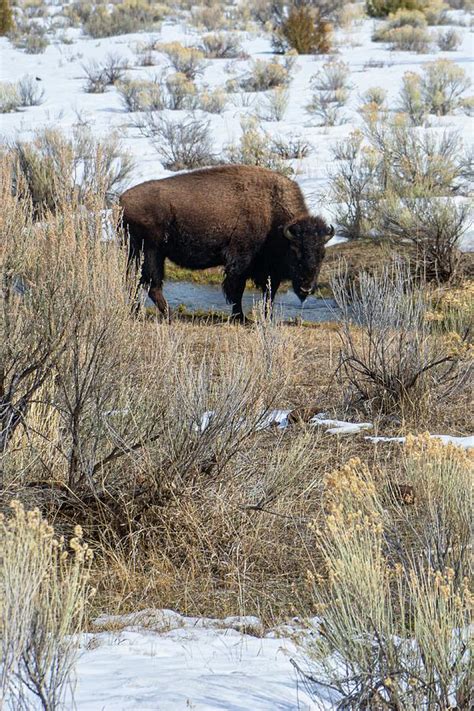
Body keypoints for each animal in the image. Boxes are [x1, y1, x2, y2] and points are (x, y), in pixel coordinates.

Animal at [118, 164, 334, 320]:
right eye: (295, 251)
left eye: (322, 254)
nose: (307, 288)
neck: (271, 212)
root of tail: (122, 201)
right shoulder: (239, 263)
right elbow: (236, 291)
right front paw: (241, 318)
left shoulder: (269, 272)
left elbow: (269, 295)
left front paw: (266, 318)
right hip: (151, 253)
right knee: (151, 285)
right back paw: (169, 315)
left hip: (139, 254)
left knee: (135, 282)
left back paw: (136, 312)